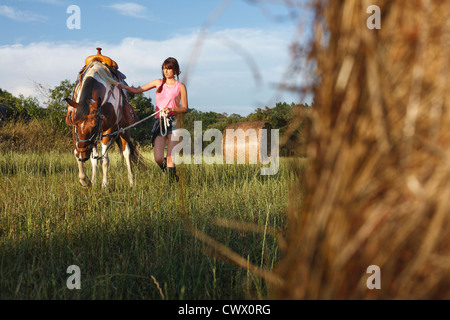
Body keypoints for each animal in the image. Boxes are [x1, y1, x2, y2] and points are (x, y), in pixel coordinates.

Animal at [65, 59, 142, 188]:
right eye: (75, 124)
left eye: (94, 126)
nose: (83, 156)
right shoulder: (88, 137)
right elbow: (81, 154)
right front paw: (85, 180)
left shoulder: (107, 130)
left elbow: (104, 160)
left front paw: (105, 185)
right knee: (94, 159)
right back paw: (93, 180)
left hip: (123, 130)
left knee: (127, 153)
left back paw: (131, 182)